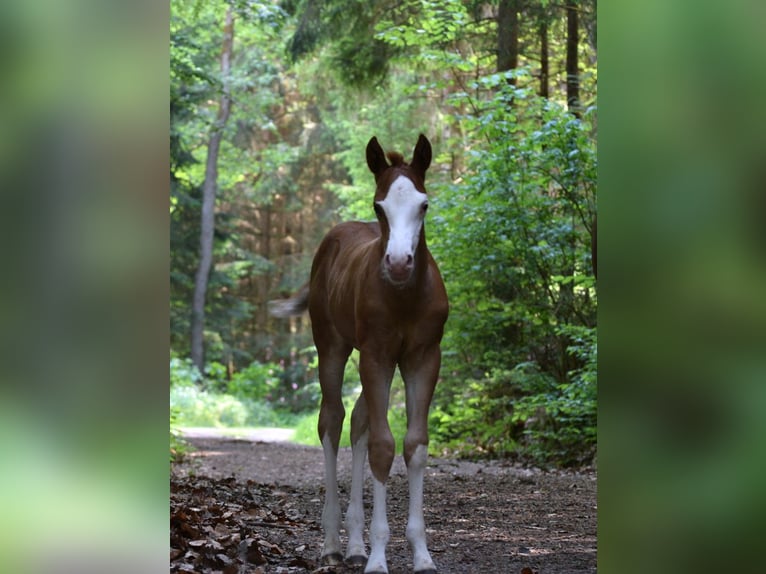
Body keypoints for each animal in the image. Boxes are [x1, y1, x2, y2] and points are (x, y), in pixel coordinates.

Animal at [269, 134, 448, 573]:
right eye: (378, 206)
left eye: (424, 204)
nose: (399, 263)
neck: (404, 298)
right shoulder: (377, 356)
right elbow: (383, 446)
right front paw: (379, 558)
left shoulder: (423, 357)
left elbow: (415, 445)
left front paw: (421, 555)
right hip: (332, 346)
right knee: (332, 420)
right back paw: (334, 543)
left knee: (359, 421)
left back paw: (354, 544)